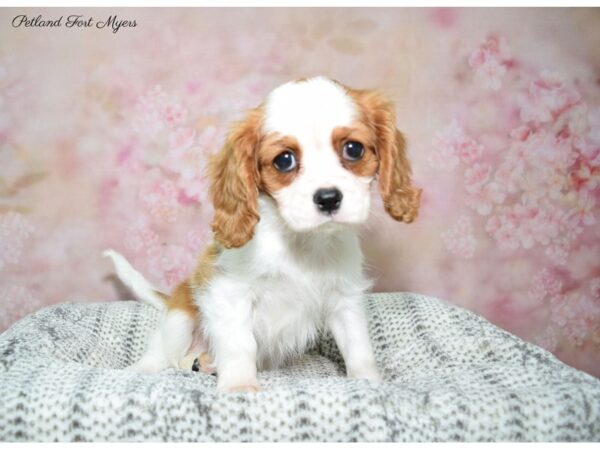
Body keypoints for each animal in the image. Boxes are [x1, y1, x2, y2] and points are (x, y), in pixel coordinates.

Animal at [104, 77, 422, 394]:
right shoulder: (229, 291)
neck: (299, 240)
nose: (329, 198)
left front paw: (369, 382)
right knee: (164, 354)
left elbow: (358, 347)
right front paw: (240, 386)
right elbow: (240, 344)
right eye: (284, 160)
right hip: (182, 316)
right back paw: (144, 369)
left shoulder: (345, 298)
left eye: (353, 149)